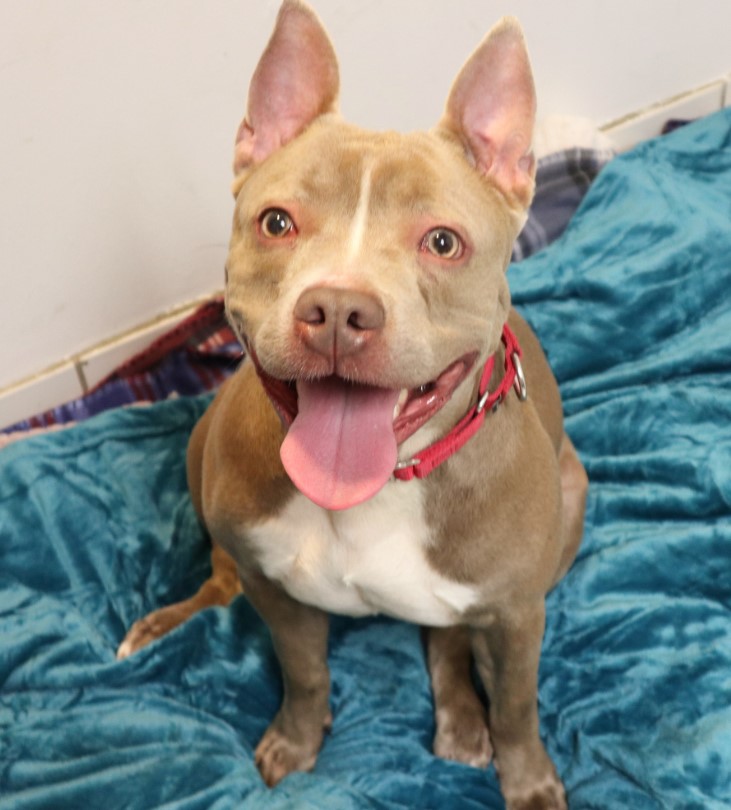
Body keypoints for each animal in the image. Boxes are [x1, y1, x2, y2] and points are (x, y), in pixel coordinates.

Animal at [118, 3, 588, 804]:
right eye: (276, 222)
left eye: (442, 242)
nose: (338, 309)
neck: (378, 487)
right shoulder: (277, 592)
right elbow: (304, 673)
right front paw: (296, 742)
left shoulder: (519, 615)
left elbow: (518, 707)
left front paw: (527, 781)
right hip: (200, 451)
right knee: (219, 579)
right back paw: (159, 628)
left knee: (449, 636)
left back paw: (464, 723)